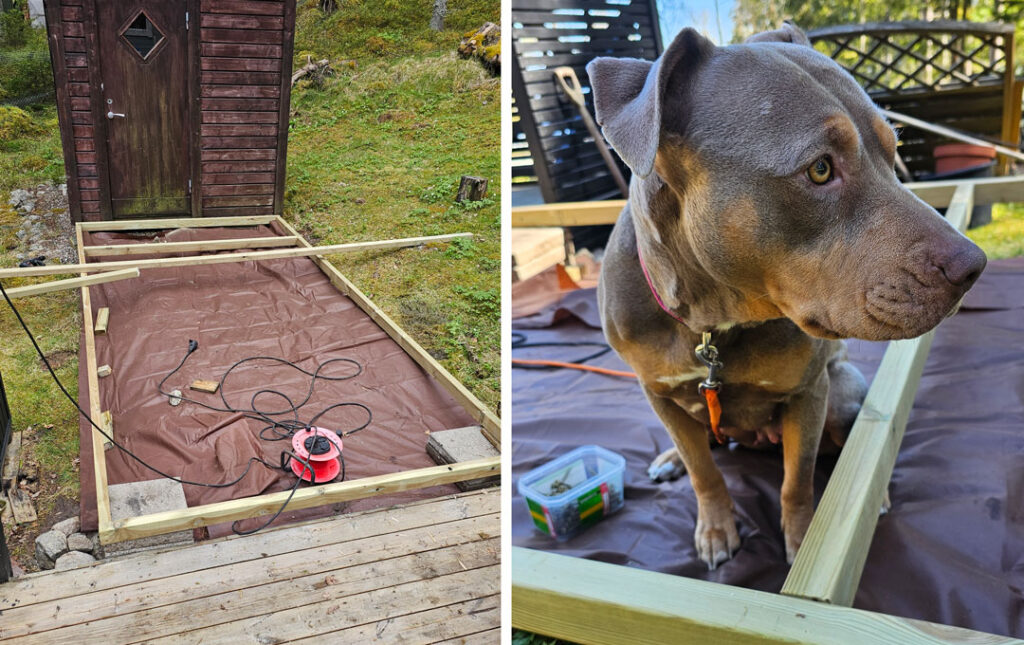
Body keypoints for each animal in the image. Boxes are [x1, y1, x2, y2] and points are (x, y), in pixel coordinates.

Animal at [589, 25, 987, 569]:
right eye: (819, 169)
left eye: (893, 149)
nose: (973, 266)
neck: (714, 321)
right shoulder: (658, 394)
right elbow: (704, 472)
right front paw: (715, 527)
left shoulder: (809, 392)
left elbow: (797, 480)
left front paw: (803, 541)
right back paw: (672, 457)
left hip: (840, 391)